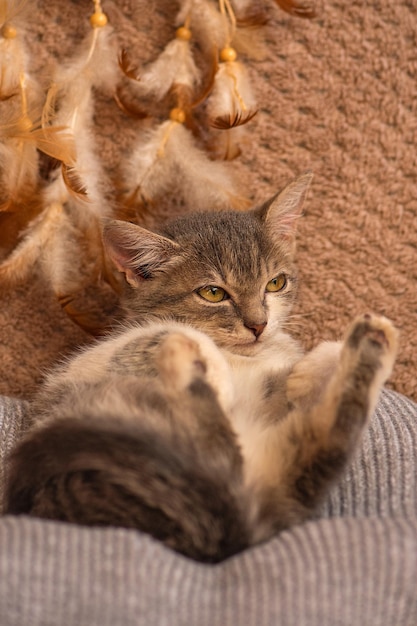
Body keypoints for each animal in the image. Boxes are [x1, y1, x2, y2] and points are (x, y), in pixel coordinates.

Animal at [4, 174, 398, 560]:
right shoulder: (82, 365)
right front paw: (214, 370)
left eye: (275, 283)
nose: (258, 324)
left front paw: (306, 371)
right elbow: (165, 332)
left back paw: (374, 339)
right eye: (213, 293)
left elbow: (290, 360)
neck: (241, 355)